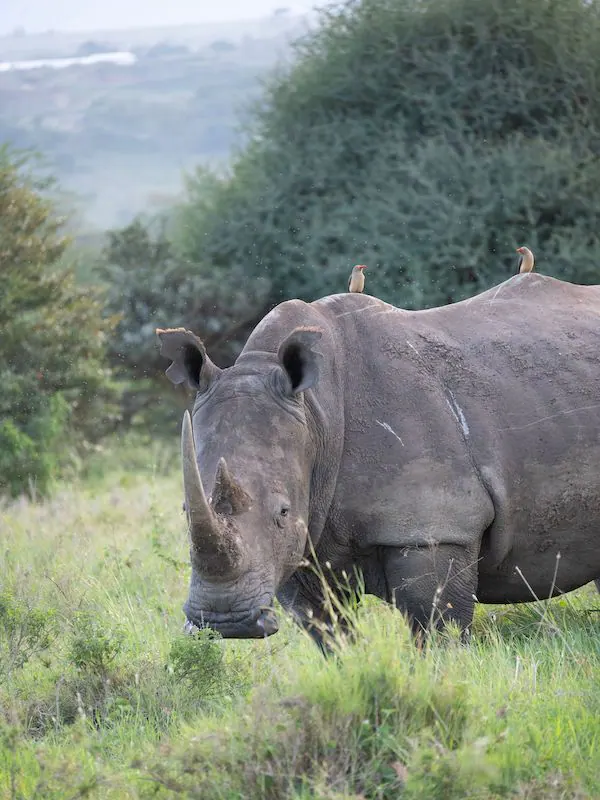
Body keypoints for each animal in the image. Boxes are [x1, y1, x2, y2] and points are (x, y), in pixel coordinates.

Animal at [157, 273, 600, 647]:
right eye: (184, 510)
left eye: (283, 512)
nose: (224, 622)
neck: (317, 412)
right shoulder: (303, 548)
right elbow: (330, 633)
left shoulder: (433, 527)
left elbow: (436, 628)